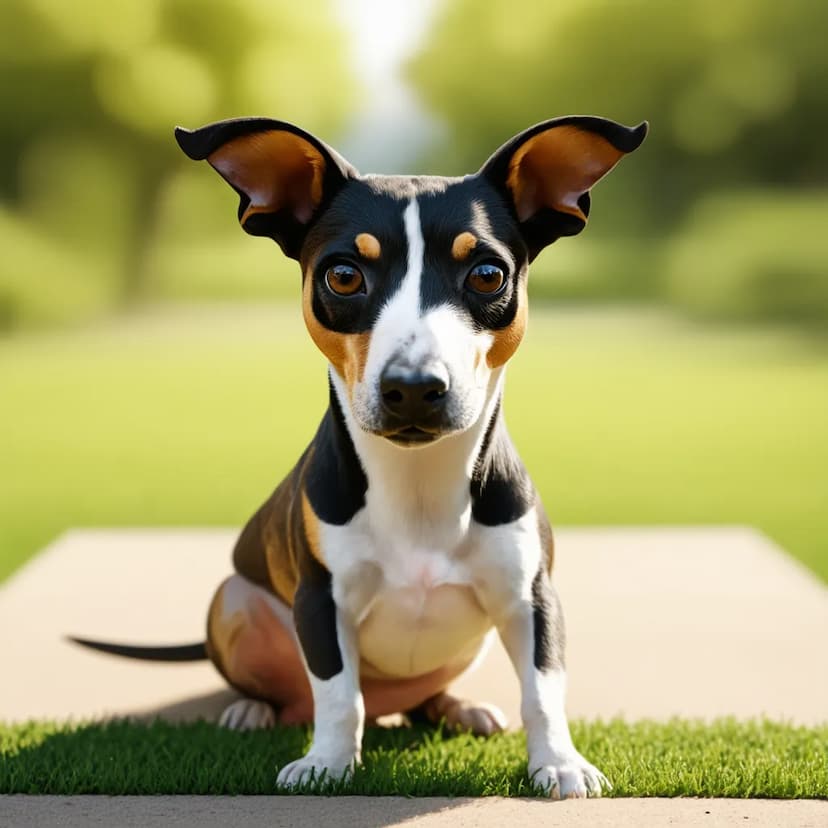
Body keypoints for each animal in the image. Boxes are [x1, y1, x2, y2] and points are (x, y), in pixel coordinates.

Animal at [73, 115, 648, 796]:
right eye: (344, 275)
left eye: (487, 274)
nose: (414, 386)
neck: (418, 483)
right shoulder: (322, 600)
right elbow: (339, 694)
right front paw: (326, 764)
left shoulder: (530, 595)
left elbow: (544, 688)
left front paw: (558, 762)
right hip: (230, 598)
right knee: (294, 691)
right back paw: (252, 710)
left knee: (425, 699)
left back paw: (458, 707)